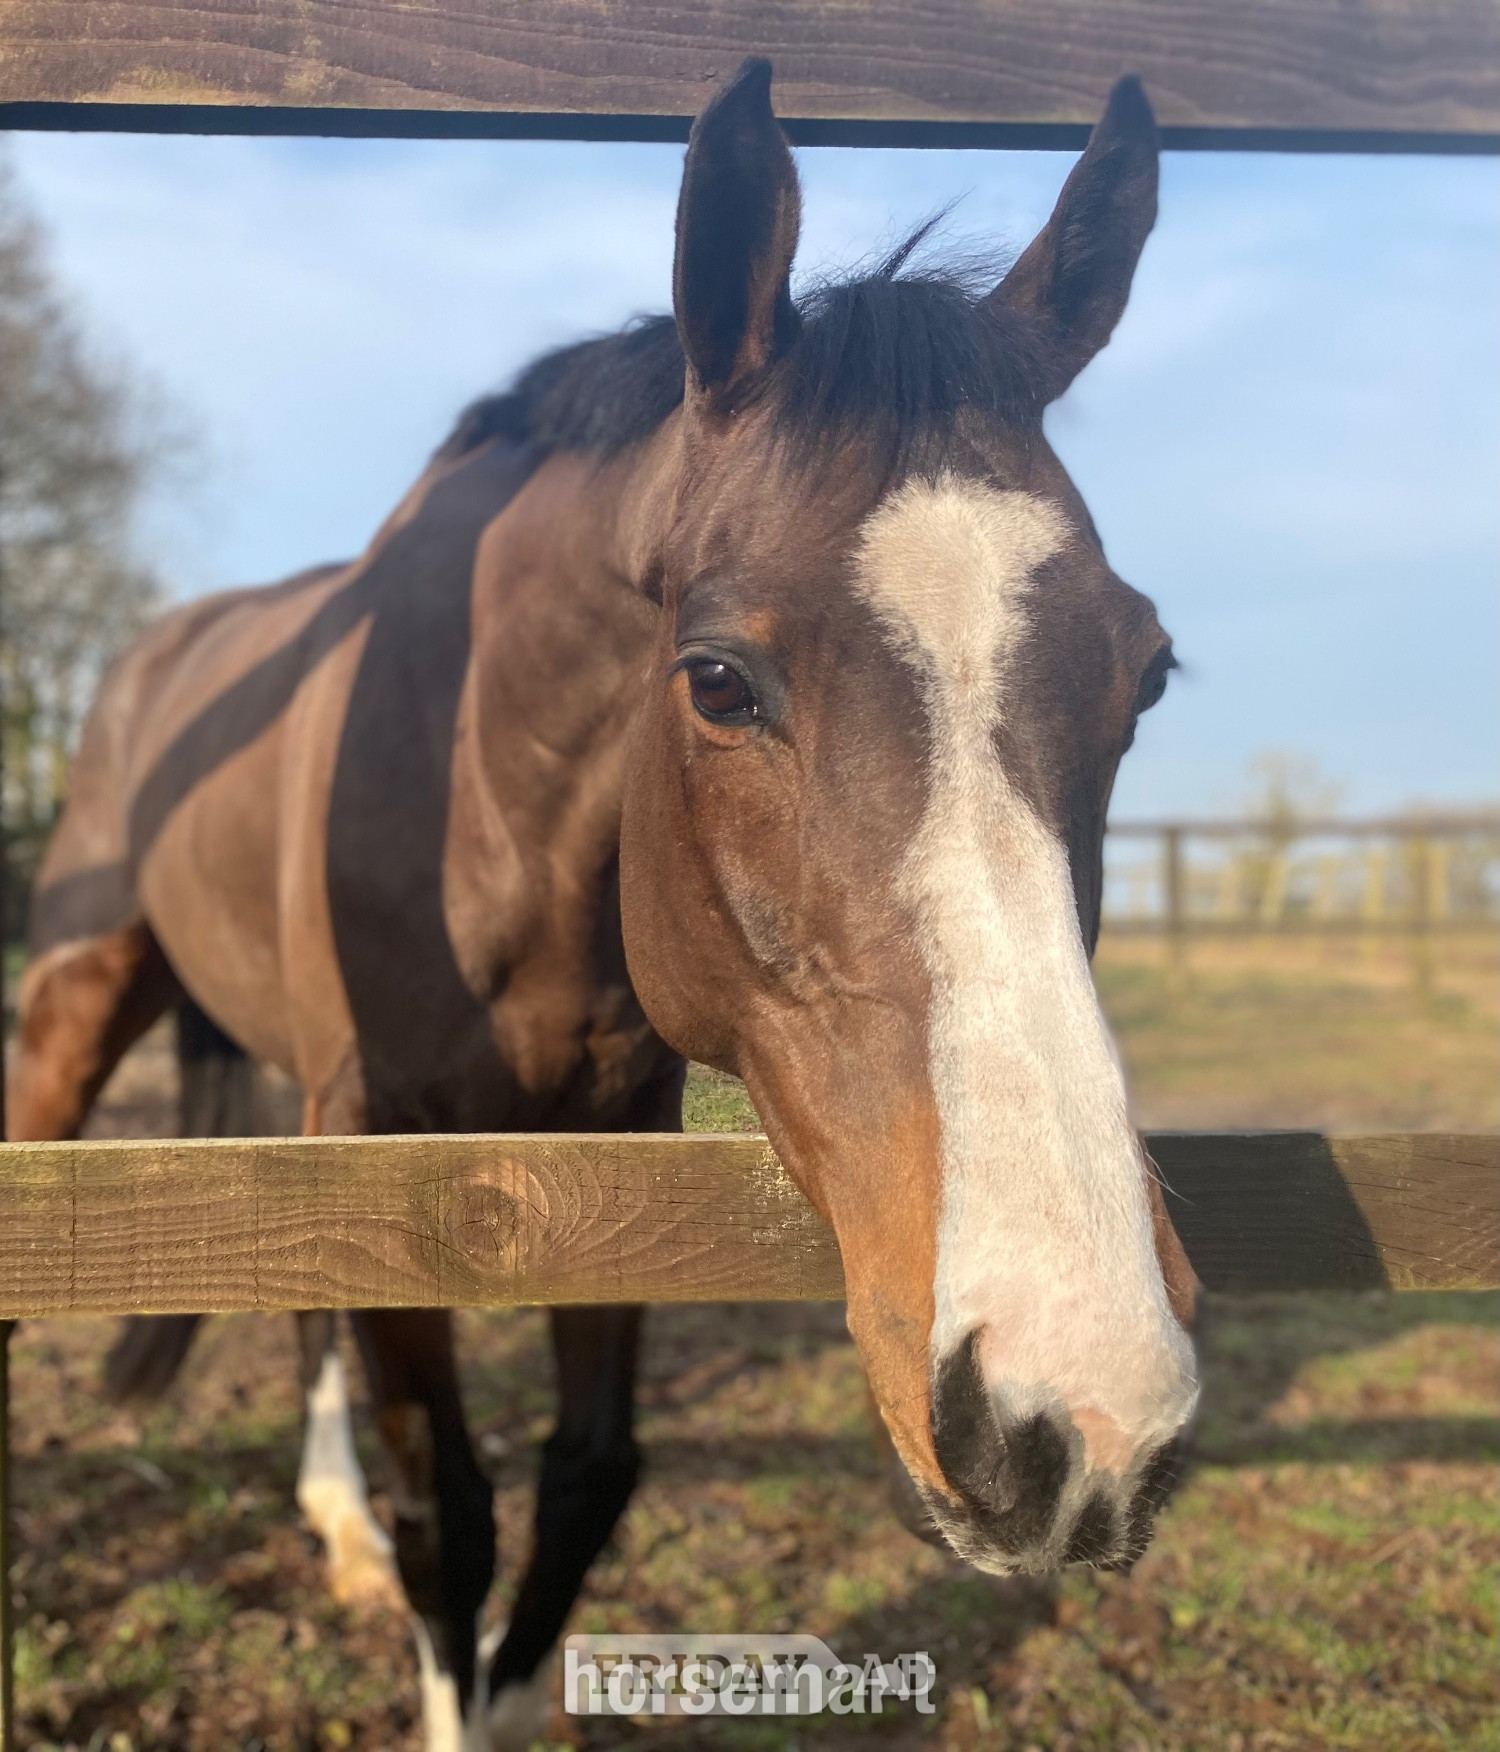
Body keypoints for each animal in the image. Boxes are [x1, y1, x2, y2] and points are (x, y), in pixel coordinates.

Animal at [8, 58, 1200, 1749]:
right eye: (717, 679)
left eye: (1145, 674)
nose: (1083, 1412)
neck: (473, 784)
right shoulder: (386, 1143)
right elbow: (455, 1510)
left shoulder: (606, 1146)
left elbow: (584, 1481)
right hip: (80, 1016)